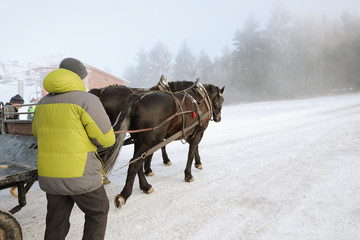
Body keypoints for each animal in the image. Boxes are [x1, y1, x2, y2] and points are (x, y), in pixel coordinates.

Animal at [102, 79, 225, 207]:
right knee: (134, 163)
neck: (200, 98)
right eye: (222, 100)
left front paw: (197, 163)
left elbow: (193, 149)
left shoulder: (189, 132)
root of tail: (138, 99)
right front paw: (189, 173)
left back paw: (145, 186)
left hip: (139, 140)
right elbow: (191, 151)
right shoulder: (199, 132)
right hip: (149, 141)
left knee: (137, 161)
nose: (218, 118)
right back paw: (124, 194)